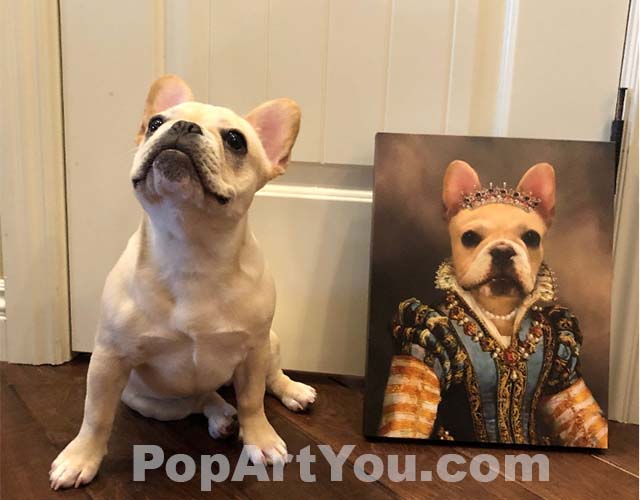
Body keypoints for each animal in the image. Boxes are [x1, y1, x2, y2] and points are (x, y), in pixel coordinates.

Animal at [50, 76, 318, 490]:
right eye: (156, 123)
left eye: (236, 140)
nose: (183, 127)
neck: (192, 247)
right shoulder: (109, 361)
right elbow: (95, 415)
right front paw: (80, 459)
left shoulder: (254, 350)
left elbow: (253, 400)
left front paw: (261, 439)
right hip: (152, 401)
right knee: (199, 398)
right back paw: (221, 415)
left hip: (270, 342)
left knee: (270, 377)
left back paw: (292, 391)